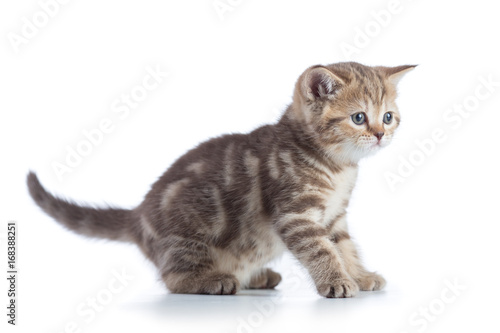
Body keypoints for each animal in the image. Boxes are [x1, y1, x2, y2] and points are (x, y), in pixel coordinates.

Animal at [29, 61, 416, 296]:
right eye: (358, 117)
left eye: (389, 116)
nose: (380, 134)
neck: (337, 167)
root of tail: (138, 216)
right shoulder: (297, 215)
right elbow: (322, 250)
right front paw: (336, 282)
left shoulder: (334, 217)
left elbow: (345, 247)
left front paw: (361, 276)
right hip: (189, 234)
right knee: (172, 277)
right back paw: (213, 280)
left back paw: (257, 276)